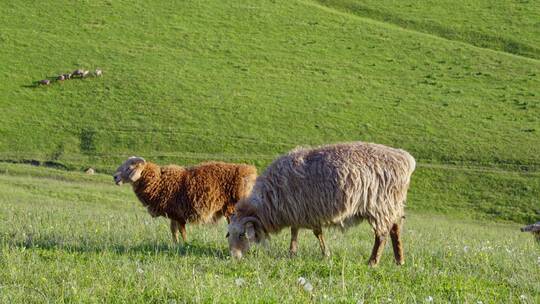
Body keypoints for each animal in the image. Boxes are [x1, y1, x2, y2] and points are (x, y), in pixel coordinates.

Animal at [113, 157, 258, 245]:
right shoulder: (173, 214)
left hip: (234, 209)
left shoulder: (179, 214)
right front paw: (176, 244)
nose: (115, 177)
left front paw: (185, 244)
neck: (158, 181)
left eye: (129, 168)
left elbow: (182, 231)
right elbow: (174, 231)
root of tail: (251, 172)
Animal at [226, 142, 416, 266]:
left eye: (242, 234)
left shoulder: (305, 210)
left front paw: (325, 254)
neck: (269, 201)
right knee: (395, 229)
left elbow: (316, 233)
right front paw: (292, 252)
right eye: (228, 235)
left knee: (382, 235)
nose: (234, 258)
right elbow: (295, 231)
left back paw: (372, 262)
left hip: (380, 204)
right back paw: (399, 260)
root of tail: (405, 159)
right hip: (392, 204)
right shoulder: (297, 211)